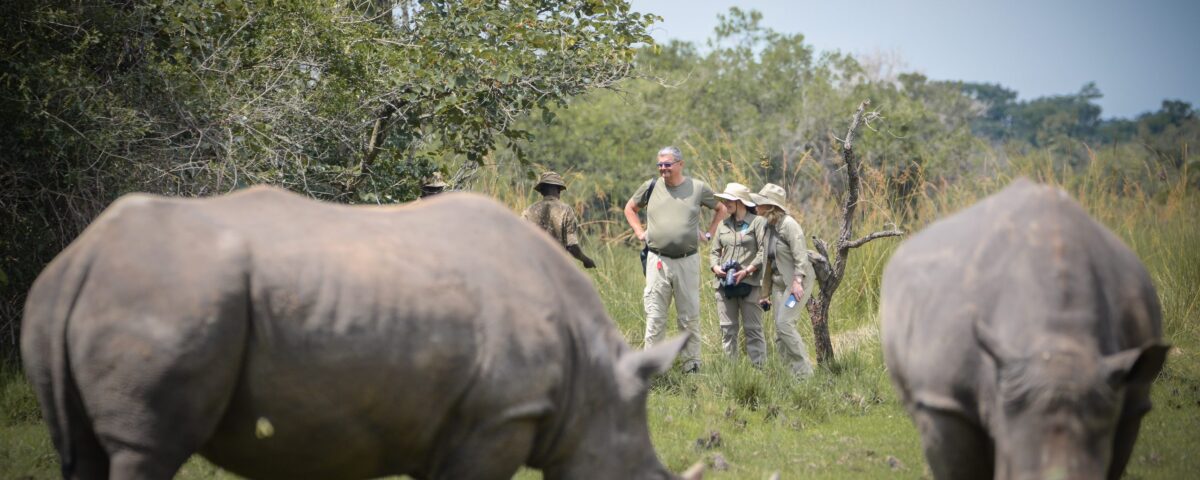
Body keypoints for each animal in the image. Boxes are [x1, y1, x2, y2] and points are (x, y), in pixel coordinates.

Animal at [22, 186, 702, 480]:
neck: (593, 378)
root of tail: (81, 260)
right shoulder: (498, 416)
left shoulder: (452, 423)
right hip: (173, 297)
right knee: (147, 445)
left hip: (81, 301)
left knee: (83, 450)